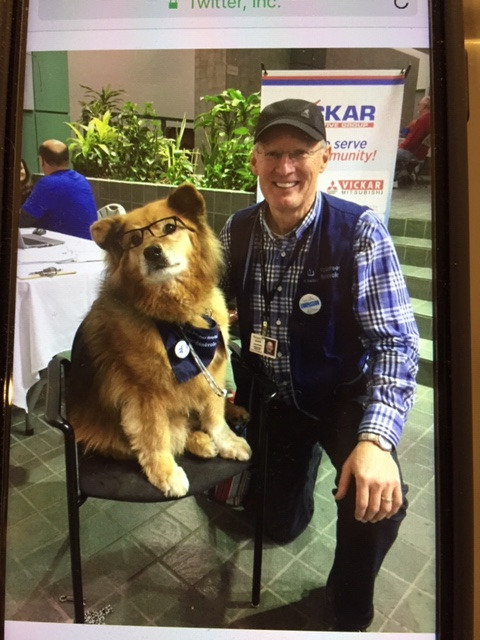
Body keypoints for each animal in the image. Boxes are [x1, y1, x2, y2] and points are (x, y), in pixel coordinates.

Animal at [65, 182, 251, 498]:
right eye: (135, 239)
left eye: (169, 227)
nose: (152, 251)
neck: (178, 316)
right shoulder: (144, 393)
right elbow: (155, 436)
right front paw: (166, 473)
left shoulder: (213, 371)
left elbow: (215, 417)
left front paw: (226, 441)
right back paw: (199, 444)